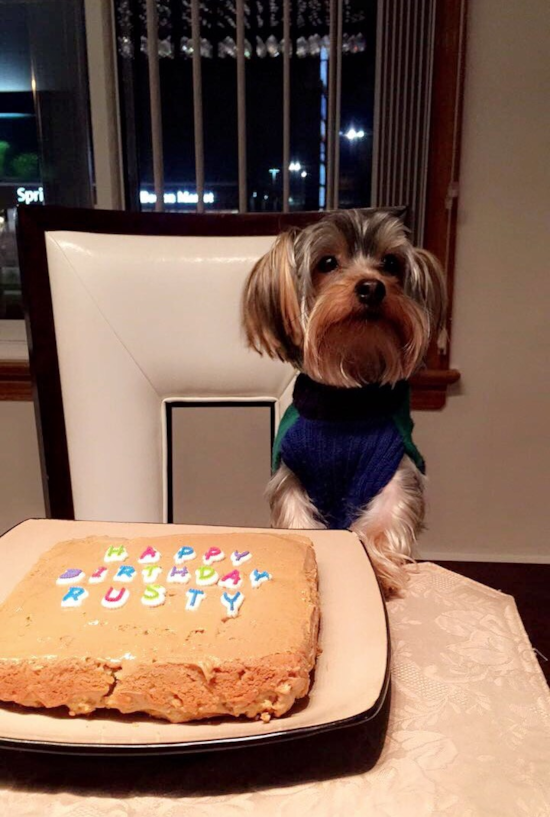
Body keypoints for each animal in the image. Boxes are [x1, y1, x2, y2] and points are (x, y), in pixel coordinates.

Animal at [244, 207, 446, 596]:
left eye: (391, 263)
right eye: (327, 262)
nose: (372, 286)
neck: (347, 402)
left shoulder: (397, 466)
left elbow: (385, 516)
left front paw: (377, 570)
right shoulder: (291, 473)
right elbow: (296, 514)